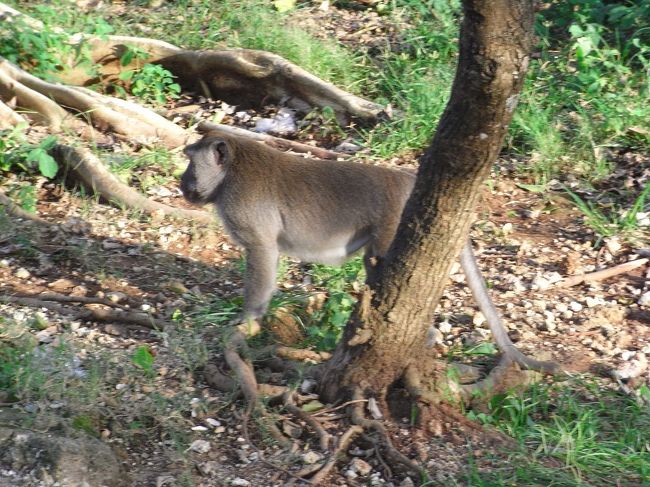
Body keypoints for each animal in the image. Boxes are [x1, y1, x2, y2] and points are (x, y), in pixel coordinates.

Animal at [180, 133, 558, 373]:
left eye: (191, 164)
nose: (182, 182)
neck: (232, 170)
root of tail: (409, 182)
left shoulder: (243, 208)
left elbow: (263, 252)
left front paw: (247, 320)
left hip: (396, 223)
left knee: (382, 264)